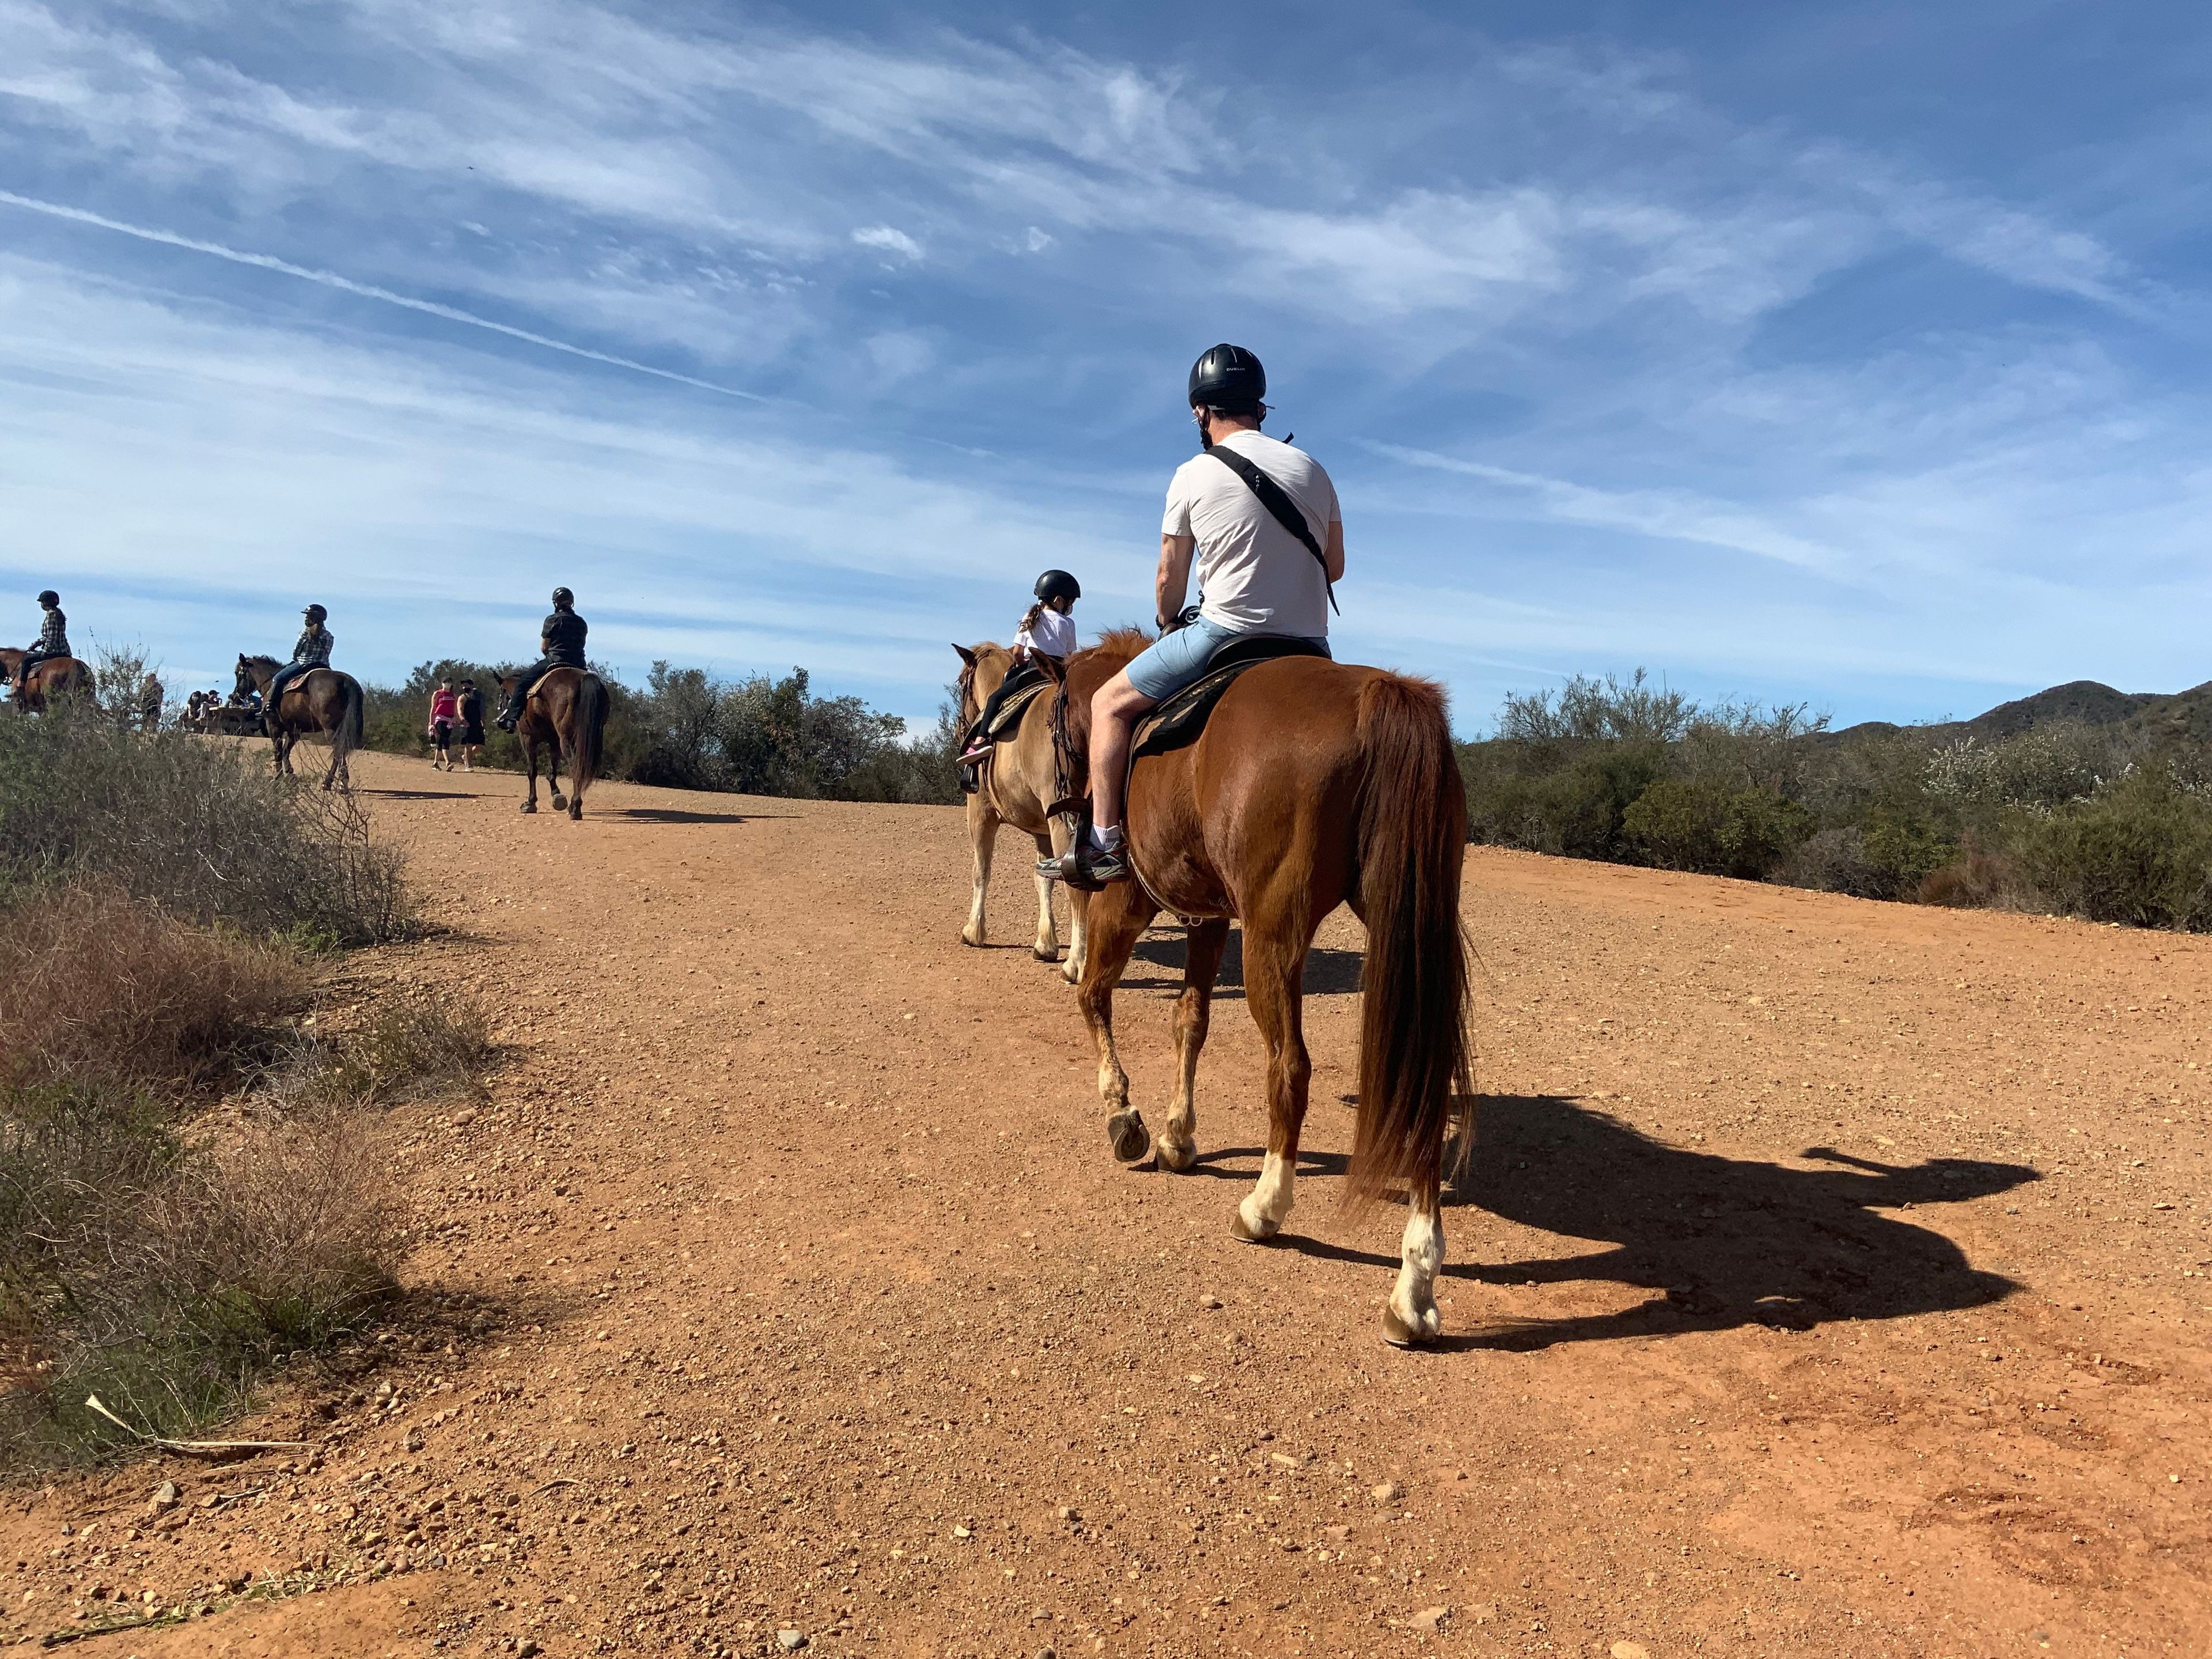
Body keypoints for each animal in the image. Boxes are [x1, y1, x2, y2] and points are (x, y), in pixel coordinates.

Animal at [236, 654, 362, 791]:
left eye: (239, 673)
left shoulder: (273, 726)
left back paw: (332, 782)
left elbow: (278, 752)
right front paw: (290, 775)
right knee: (340, 750)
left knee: (338, 750)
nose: (237, 694)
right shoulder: (295, 730)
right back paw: (336, 782)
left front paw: (278, 777)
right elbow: (286, 751)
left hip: (330, 728)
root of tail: (345, 681)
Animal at [498, 664, 606, 818]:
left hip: (567, 739)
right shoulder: (554, 741)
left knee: (576, 767)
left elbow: (532, 771)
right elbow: (552, 770)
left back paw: (575, 807)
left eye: (502, 694)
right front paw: (557, 796)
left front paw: (530, 803)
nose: (501, 723)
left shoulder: (528, 739)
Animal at [951, 641, 1088, 982]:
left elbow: (981, 871)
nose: (961, 728)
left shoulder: (980, 814)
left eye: (961, 683)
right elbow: (1044, 878)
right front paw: (1045, 944)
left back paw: (1077, 962)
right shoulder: (1042, 830)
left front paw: (974, 931)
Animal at [1052, 632, 1468, 1354]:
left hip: (1272, 936)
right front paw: (1178, 1137)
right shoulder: (1209, 918)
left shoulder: (1125, 901)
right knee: (1424, 1081)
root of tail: (1377, 694)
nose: (1057, 798)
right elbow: (1189, 1021)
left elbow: (1094, 997)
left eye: (1050, 724)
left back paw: (1264, 1208)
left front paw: (1125, 1117)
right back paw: (1414, 1290)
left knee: (1290, 1067)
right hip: (1410, 922)